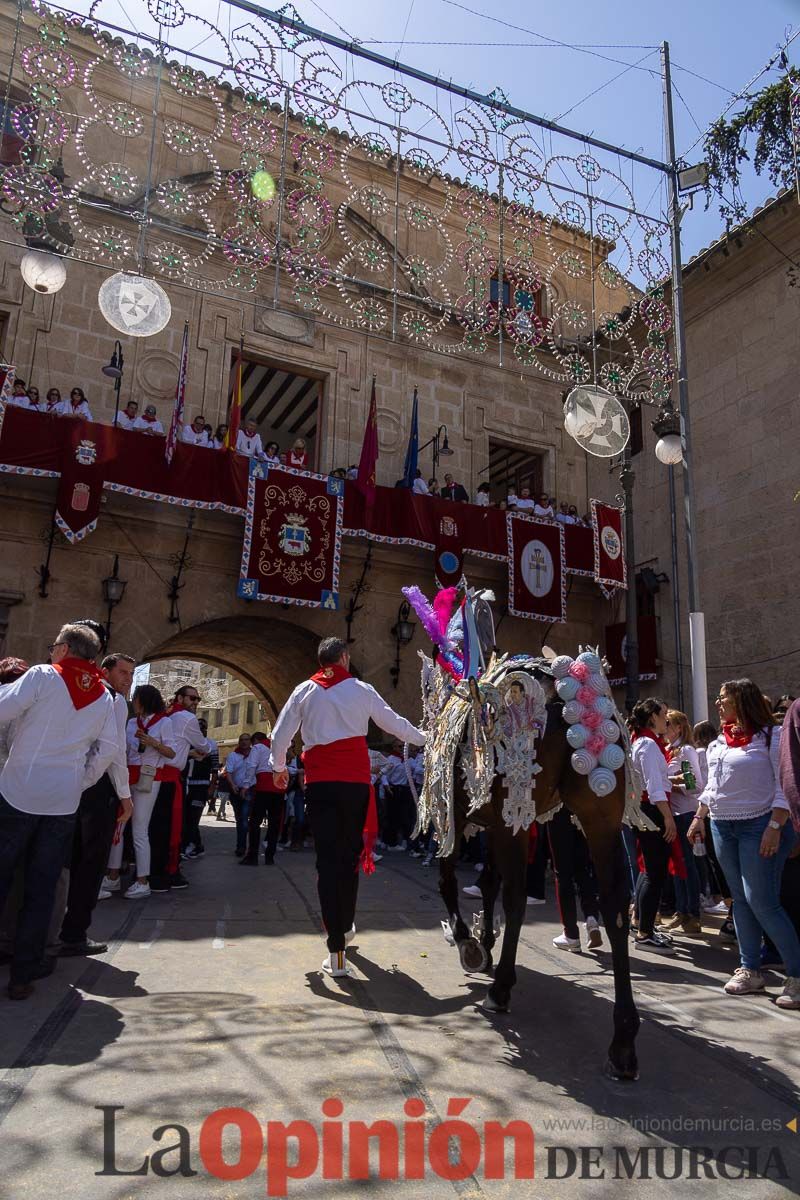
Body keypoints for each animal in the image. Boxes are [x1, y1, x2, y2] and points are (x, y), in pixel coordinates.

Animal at [402, 580, 652, 1080]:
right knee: (615, 906)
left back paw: (501, 989)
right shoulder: (499, 824)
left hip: (519, 823)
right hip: (598, 819)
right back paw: (623, 1041)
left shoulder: (458, 820)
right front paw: (484, 938)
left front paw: (470, 942)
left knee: (518, 895)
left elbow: (451, 881)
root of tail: (564, 690)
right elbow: (487, 882)